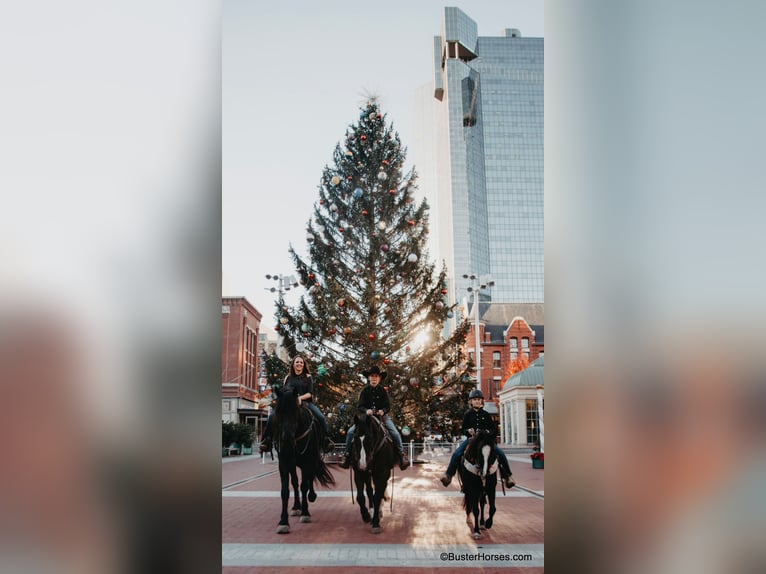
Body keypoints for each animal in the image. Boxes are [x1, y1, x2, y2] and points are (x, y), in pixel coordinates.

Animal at [274, 388, 338, 536]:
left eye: (295, 412)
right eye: (278, 412)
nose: (287, 440)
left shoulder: (307, 461)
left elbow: (305, 485)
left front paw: (305, 513)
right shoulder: (284, 463)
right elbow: (285, 491)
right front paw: (283, 522)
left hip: (311, 460)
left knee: (310, 477)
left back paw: (311, 496)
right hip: (293, 464)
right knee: (295, 482)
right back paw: (296, 506)